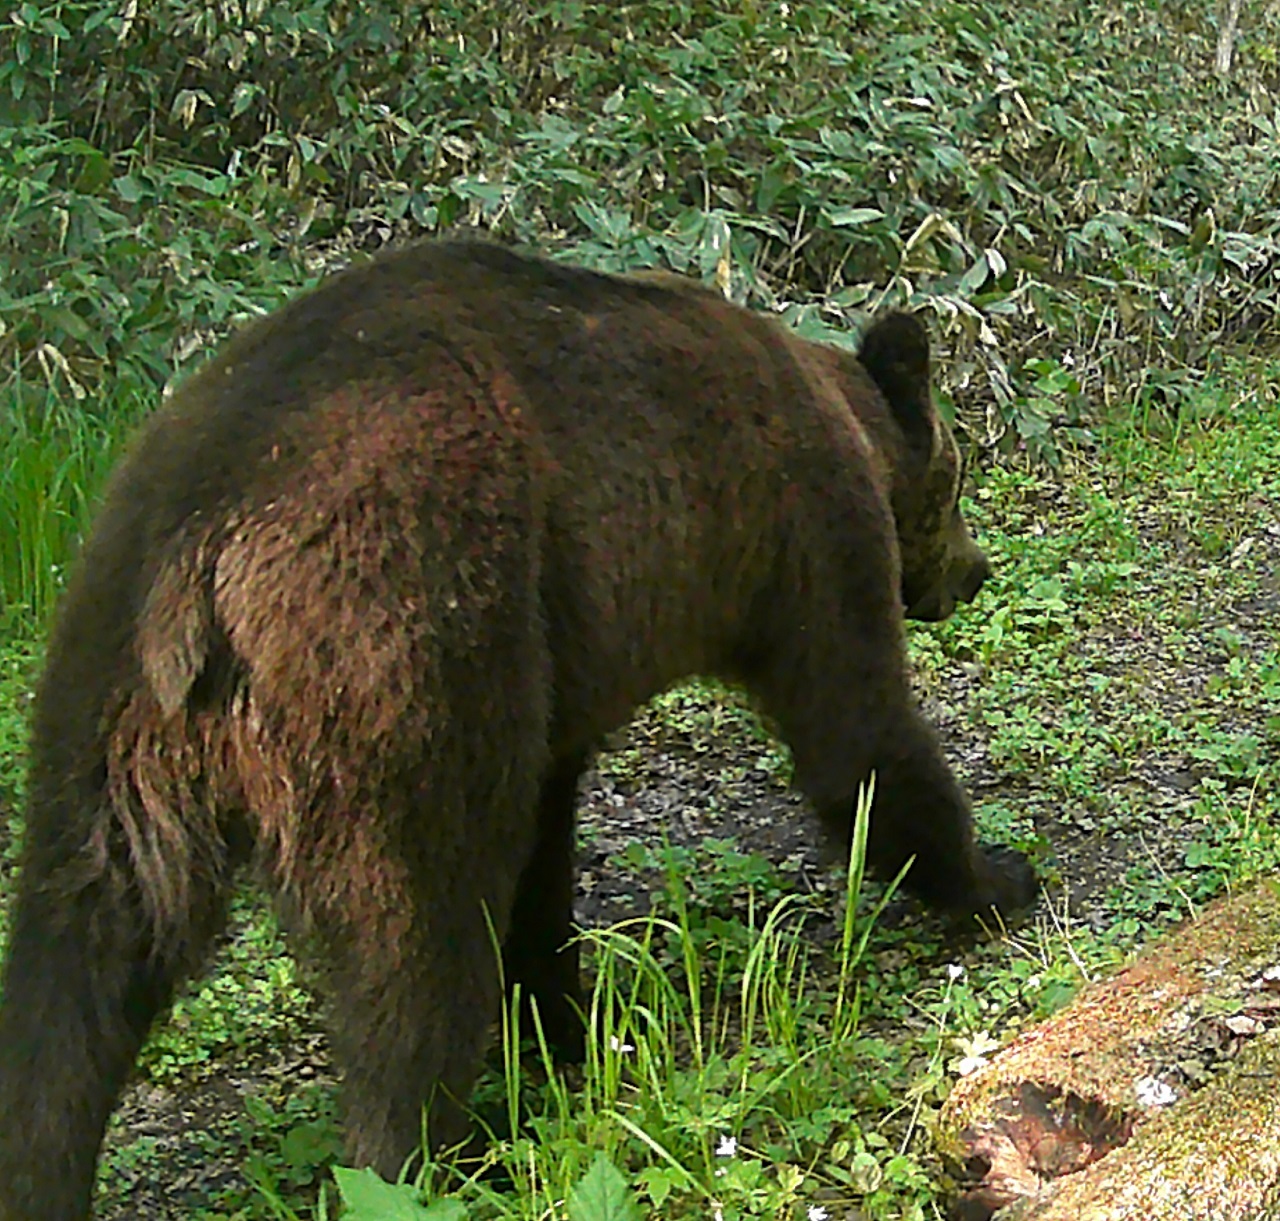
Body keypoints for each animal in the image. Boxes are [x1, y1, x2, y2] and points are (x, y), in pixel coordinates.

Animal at [0, 238, 1034, 1218]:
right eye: (958, 476)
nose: (975, 570)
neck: (843, 413)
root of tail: (204, 551)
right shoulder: (802, 528)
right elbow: (857, 730)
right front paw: (997, 874)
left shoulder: (562, 646)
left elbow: (546, 830)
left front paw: (560, 1016)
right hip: (405, 630)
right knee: (419, 929)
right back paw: (422, 1154)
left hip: (103, 700)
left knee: (73, 963)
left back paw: (41, 1175)